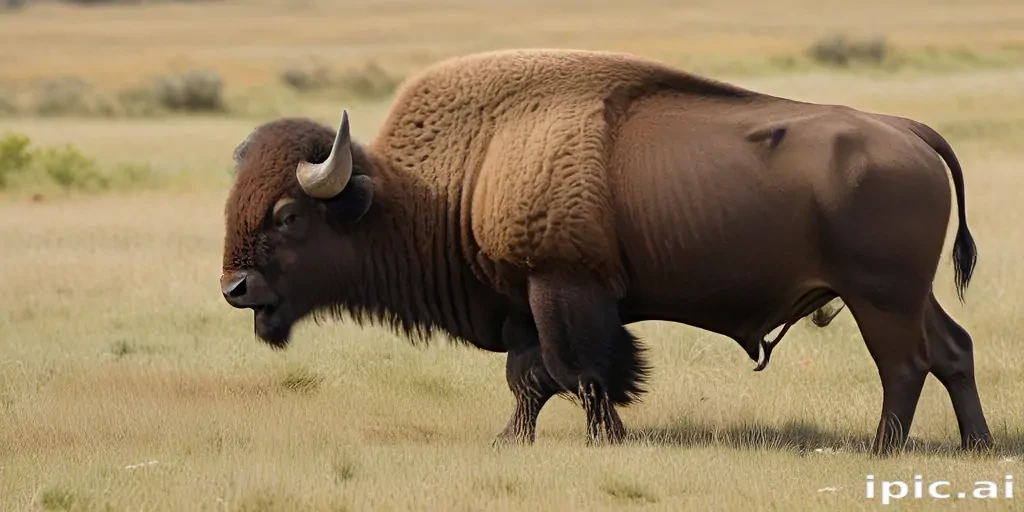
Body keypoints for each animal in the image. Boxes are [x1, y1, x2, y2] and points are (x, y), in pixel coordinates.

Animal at [219, 49, 992, 455]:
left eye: (288, 216)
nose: (235, 289)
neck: (452, 181)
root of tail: (910, 131)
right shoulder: (523, 304)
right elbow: (531, 381)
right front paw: (512, 440)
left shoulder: (564, 288)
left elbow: (581, 371)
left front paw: (607, 437)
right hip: (907, 295)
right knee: (952, 349)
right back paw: (977, 444)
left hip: (878, 296)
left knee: (904, 364)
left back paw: (883, 448)